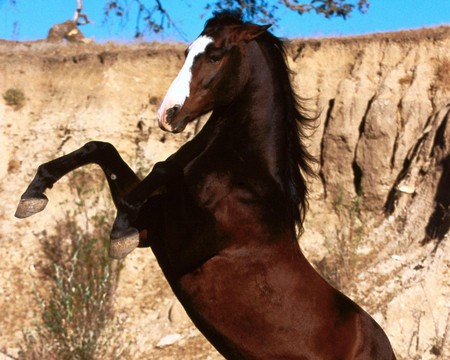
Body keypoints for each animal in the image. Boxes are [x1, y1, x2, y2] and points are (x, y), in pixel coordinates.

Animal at [14, 11, 394, 360]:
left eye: (215, 56)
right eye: (187, 52)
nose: (167, 115)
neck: (245, 178)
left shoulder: (184, 242)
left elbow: (163, 168)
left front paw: (118, 231)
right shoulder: (151, 229)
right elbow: (101, 149)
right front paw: (33, 194)